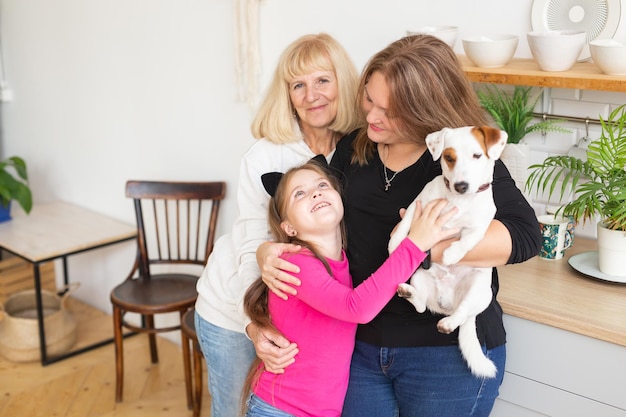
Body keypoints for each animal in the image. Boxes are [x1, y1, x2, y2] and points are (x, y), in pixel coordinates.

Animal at [390, 123, 508, 376]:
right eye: (449, 157)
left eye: (477, 155)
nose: (461, 186)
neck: (458, 200)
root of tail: (447, 305)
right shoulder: (419, 205)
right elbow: (405, 225)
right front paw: (395, 243)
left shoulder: (481, 225)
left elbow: (468, 240)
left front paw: (452, 253)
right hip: (419, 276)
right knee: (421, 306)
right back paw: (409, 293)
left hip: (479, 292)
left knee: (463, 312)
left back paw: (448, 323)